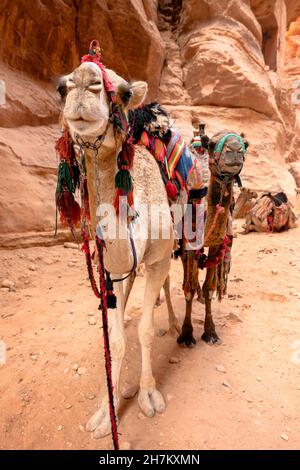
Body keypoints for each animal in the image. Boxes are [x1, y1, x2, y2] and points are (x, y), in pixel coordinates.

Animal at [59, 57, 178, 436]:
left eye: (124, 92)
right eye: (62, 87)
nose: (85, 83)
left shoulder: (156, 257)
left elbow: (144, 331)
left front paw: (148, 395)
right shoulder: (113, 268)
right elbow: (117, 338)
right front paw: (103, 413)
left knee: (172, 281)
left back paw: (174, 323)